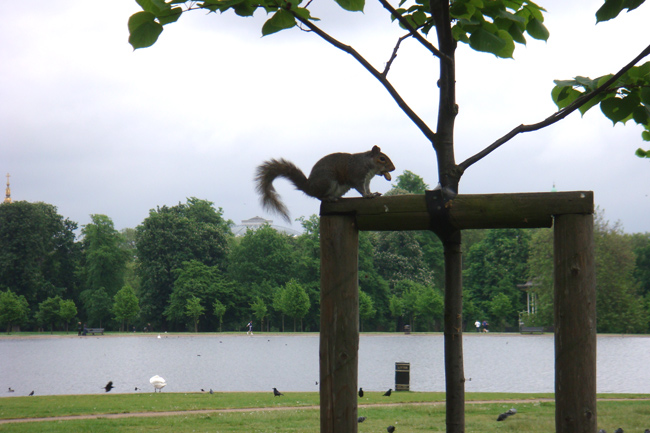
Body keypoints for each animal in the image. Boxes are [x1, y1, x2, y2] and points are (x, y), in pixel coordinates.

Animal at [255, 145, 396, 222]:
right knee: (319, 196)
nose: (393, 168)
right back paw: (329, 198)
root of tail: (309, 187)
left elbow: (367, 188)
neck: (367, 164)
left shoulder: (367, 180)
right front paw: (367, 196)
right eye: (382, 158)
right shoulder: (357, 176)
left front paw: (372, 194)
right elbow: (361, 189)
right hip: (328, 182)